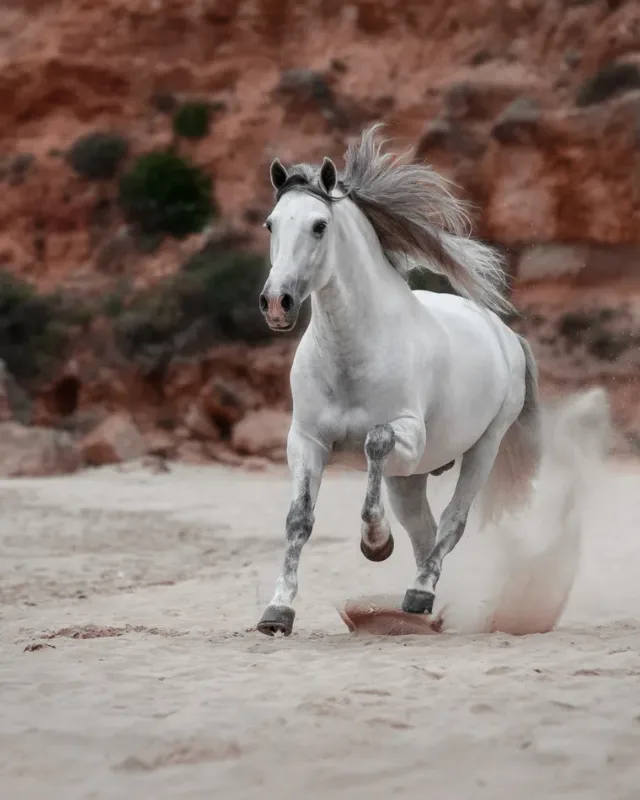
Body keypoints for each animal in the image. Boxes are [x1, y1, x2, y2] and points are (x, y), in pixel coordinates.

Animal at [256, 124, 540, 637]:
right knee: (424, 532)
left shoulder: (406, 433)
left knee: (450, 523)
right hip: (410, 478)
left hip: (481, 449)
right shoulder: (306, 441)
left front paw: (375, 543)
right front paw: (277, 611)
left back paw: (420, 594)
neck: (352, 353)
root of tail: (504, 333)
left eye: (319, 225)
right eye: (271, 224)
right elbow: (298, 520)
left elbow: (374, 442)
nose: (276, 303)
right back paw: (418, 605)